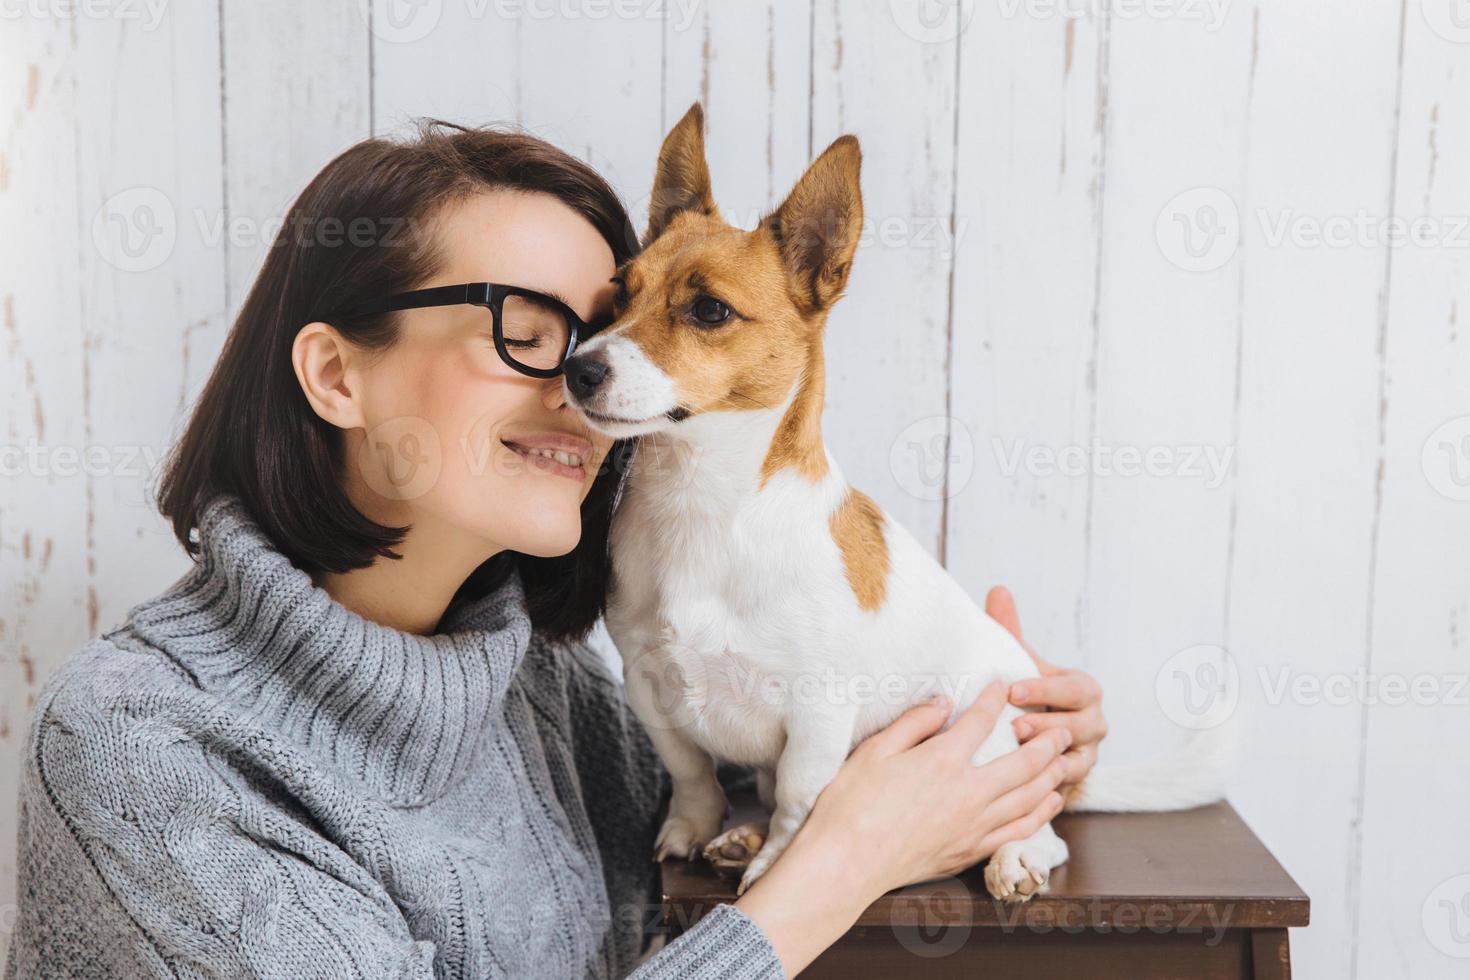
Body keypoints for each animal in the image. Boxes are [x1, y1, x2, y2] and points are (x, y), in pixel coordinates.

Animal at [555, 107, 1223, 905]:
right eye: (616, 295)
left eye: (709, 310)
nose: (578, 368)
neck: (702, 504)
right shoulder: (650, 688)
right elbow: (692, 773)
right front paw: (696, 829)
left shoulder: (818, 709)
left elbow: (800, 799)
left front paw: (775, 863)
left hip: (987, 739)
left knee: (1046, 830)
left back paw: (1017, 856)